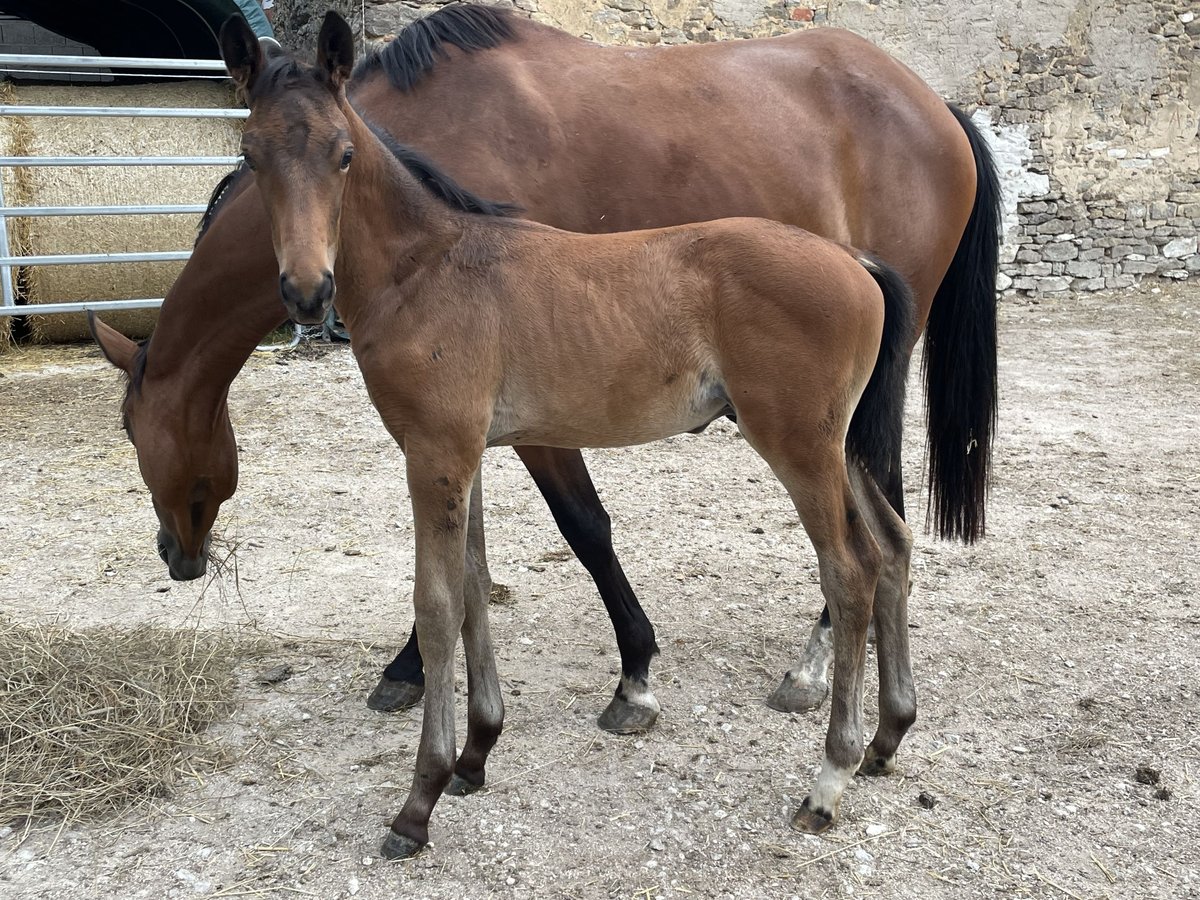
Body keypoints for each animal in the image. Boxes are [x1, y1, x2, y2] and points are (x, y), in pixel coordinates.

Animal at [88, 5, 998, 734]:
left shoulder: (524, 420)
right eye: (250, 151)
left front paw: (623, 675)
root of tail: (937, 106)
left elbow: (580, 528)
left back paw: (813, 670)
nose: (175, 554)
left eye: (133, 429)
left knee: (861, 530)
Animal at [220, 14, 921, 854]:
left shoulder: (434, 454)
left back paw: (828, 778)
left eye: (343, 153)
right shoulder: (463, 454)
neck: (427, 269)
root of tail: (855, 259)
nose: (304, 290)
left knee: (849, 571)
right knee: (893, 547)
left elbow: (437, 606)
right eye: (250, 153)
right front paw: (476, 756)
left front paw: (419, 800)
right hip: (843, 446)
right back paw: (887, 737)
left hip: (800, 445)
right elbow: (474, 589)